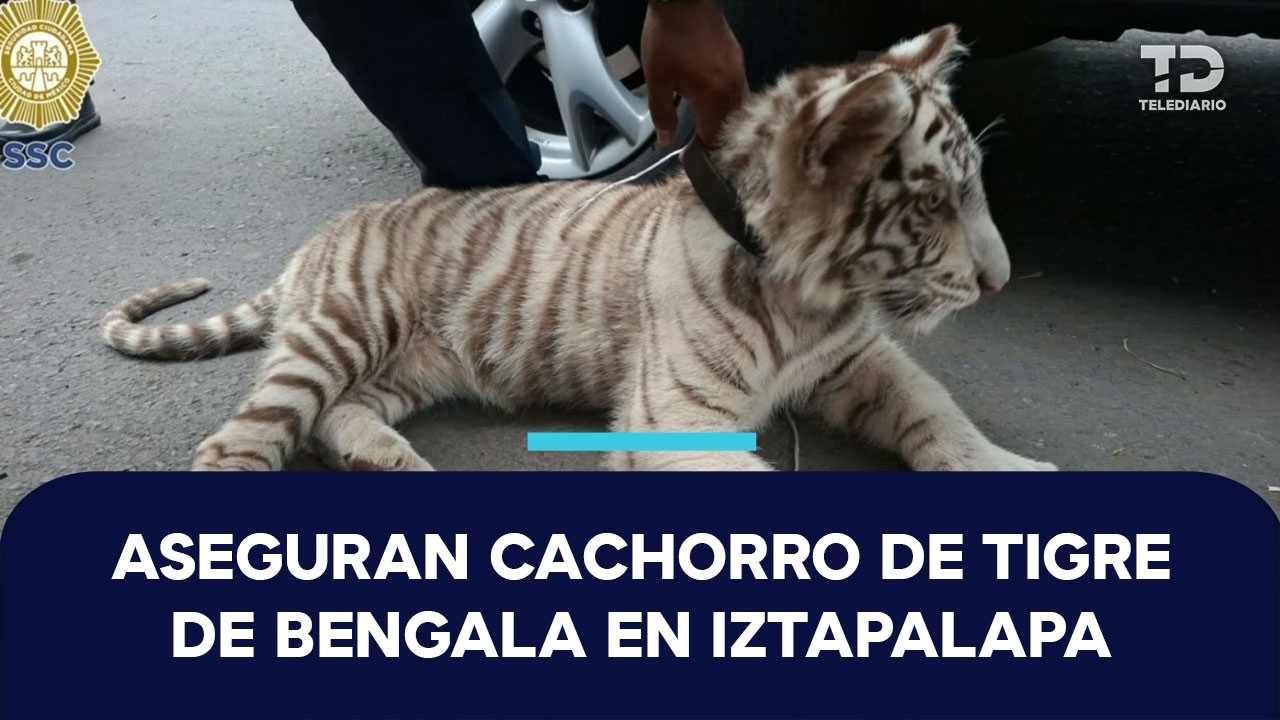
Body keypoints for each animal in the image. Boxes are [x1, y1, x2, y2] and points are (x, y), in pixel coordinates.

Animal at [99, 25, 1057, 474]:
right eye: (932, 204)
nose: (1003, 282)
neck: (813, 297)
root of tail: (320, 237)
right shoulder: (680, 417)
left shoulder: (859, 362)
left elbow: (939, 413)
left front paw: (1008, 466)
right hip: (341, 330)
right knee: (240, 441)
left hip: (411, 366)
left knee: (340, 416)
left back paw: (392, 459)